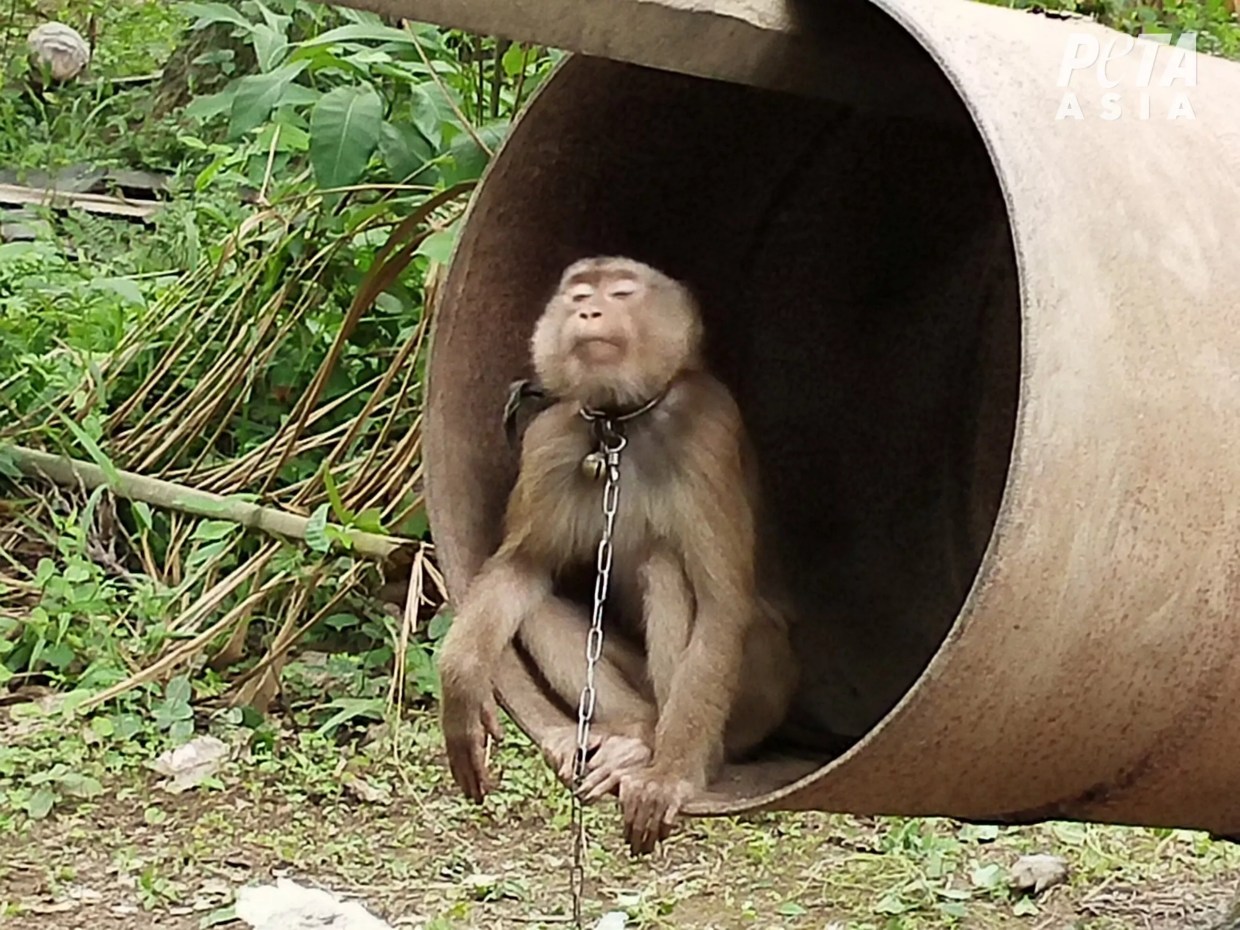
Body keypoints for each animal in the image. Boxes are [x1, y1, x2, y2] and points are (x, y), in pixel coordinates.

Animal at [436, 256, 798, 855]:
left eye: (622, 293)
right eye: (580, 294)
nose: (588, 312)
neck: (621, 423)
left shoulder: (708, 429)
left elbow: (722, 604)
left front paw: (671, 778)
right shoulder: (553, 437)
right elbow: (521, 567)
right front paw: (462, 684)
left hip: (759, 691)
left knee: (666, 566)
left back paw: (663, 754)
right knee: (538, 601)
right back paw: (630, 731)